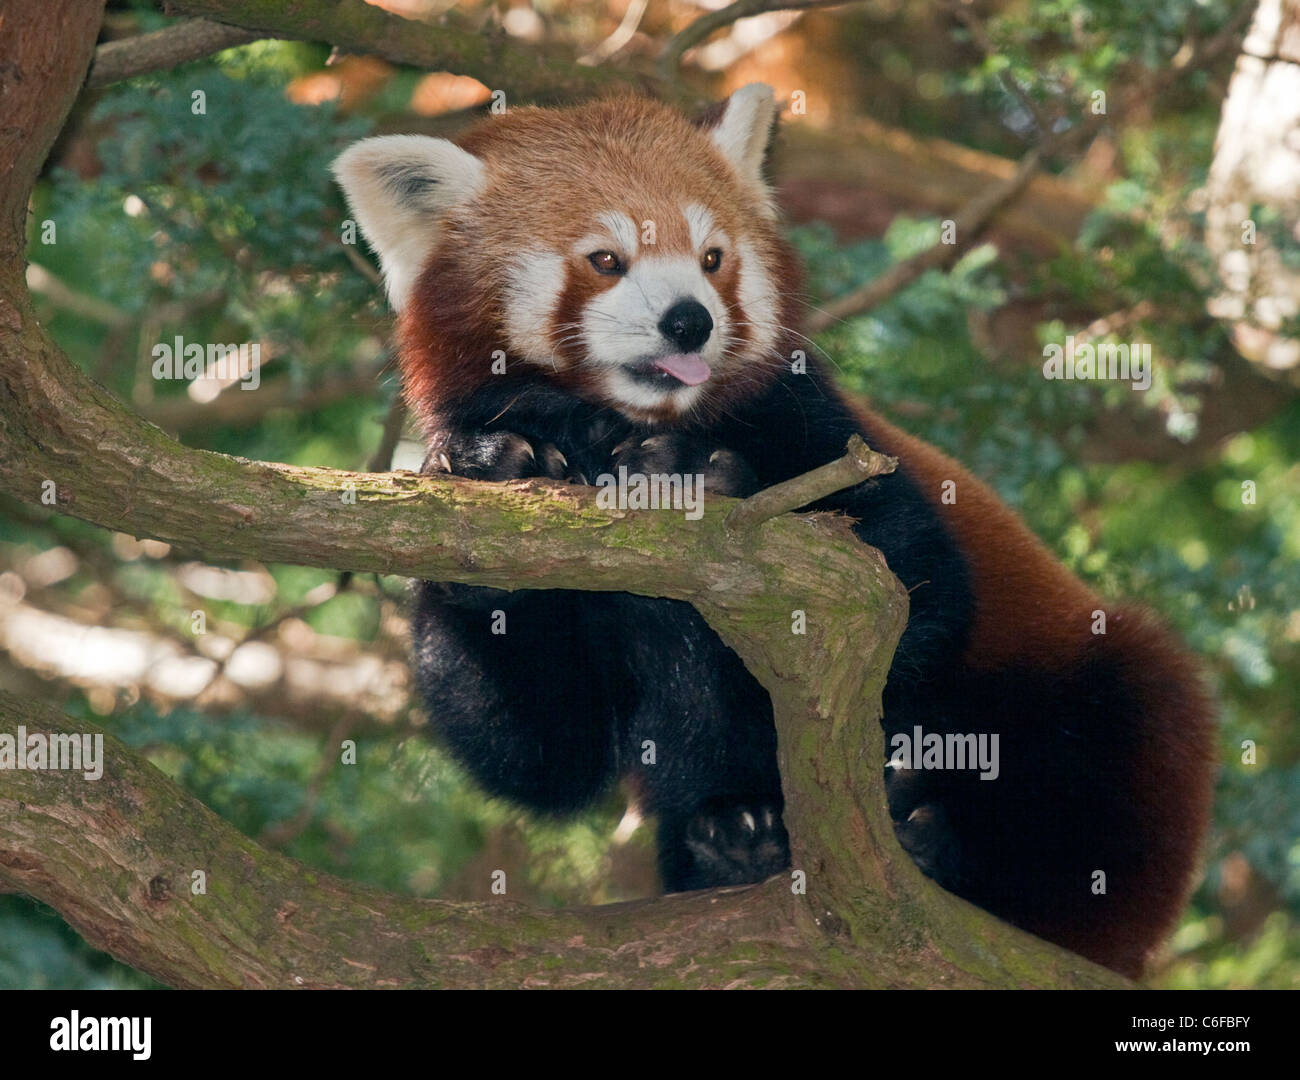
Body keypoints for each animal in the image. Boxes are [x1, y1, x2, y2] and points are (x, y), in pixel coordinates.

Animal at [332, 86, 1216, 977]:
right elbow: (540, 751)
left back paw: (946, 844)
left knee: (1112, 741)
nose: (689, 321)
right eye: (606, 260)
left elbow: (917, 592)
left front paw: (702, 473)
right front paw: (489, 472)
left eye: (713, 258)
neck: (619, 422)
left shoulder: (820, 428)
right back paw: (739, 839)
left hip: (1087, 698)